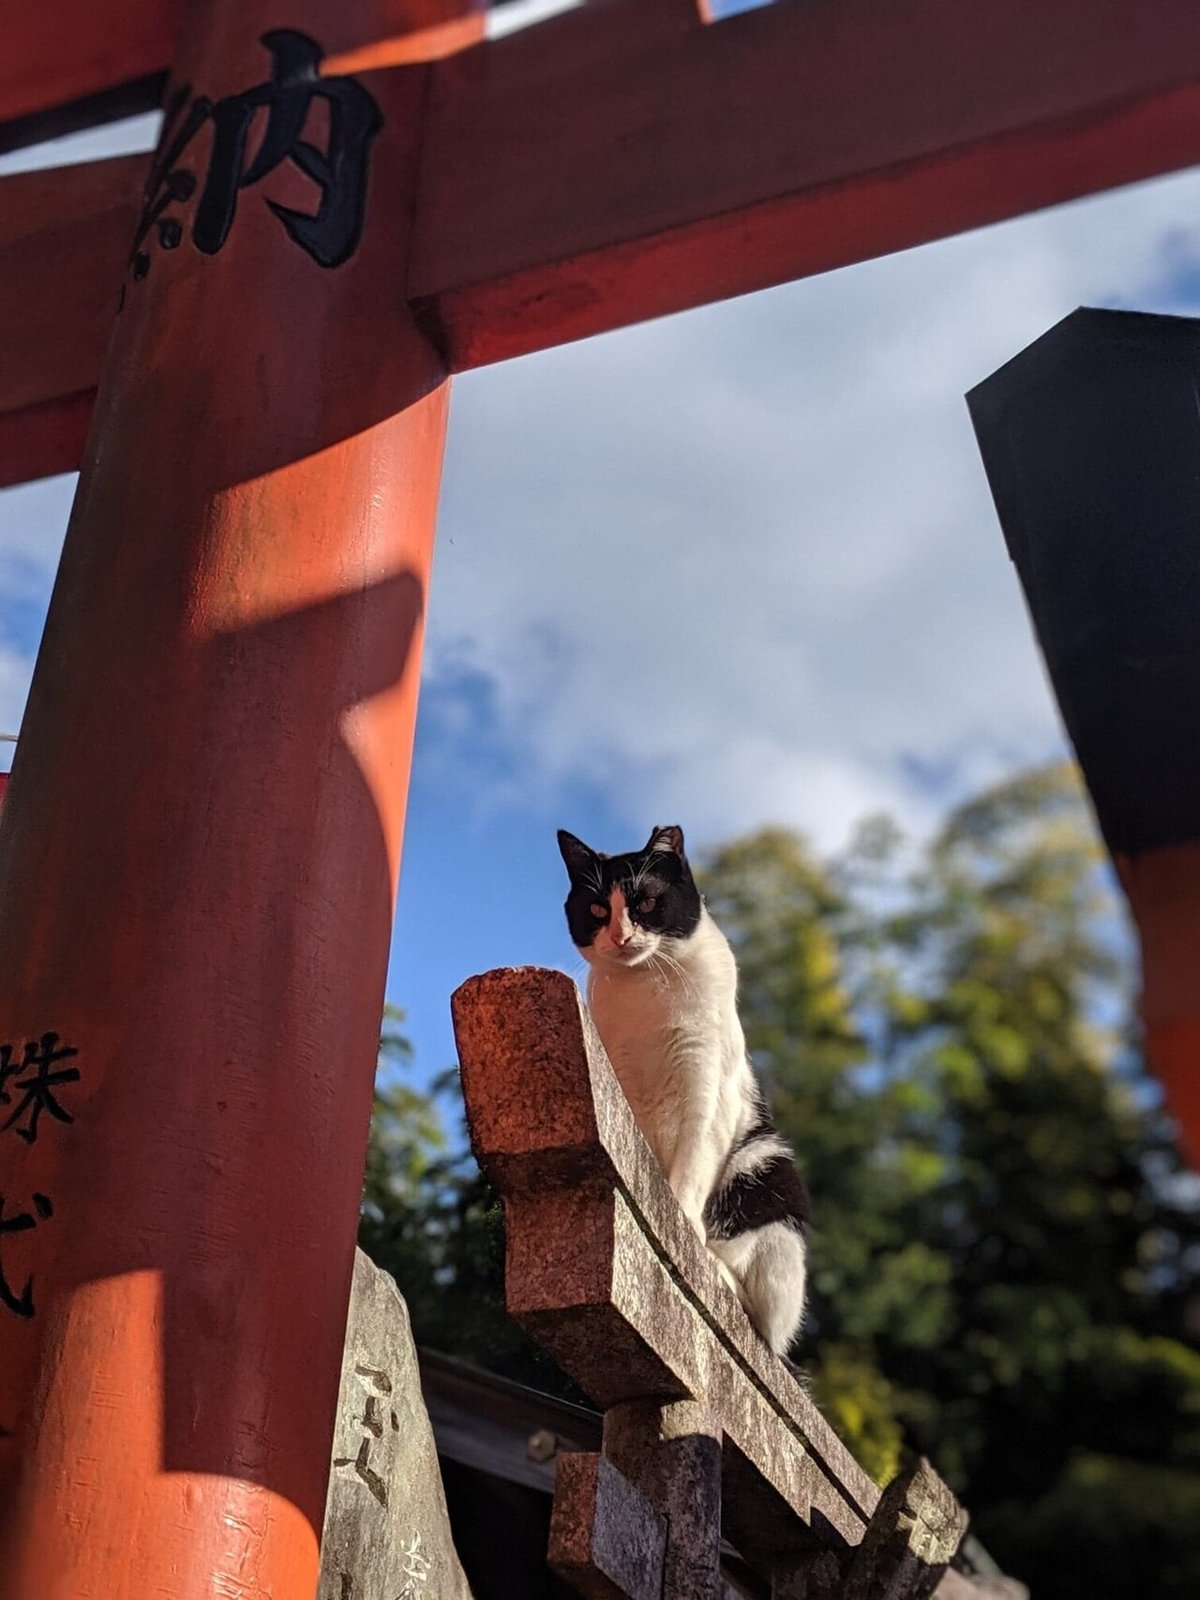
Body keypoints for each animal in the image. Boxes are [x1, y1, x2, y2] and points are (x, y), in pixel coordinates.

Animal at [563, 819, 809, 1356]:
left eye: (647, 903)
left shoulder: (707, 1090)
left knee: (760, 1316)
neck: (646, 989)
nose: (620, 935)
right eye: (597, 909)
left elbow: (691, 1169)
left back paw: (716, 1265)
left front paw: (680, 1227)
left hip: (766, 1166)